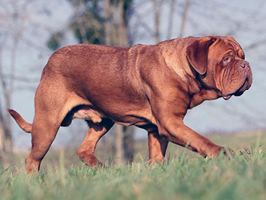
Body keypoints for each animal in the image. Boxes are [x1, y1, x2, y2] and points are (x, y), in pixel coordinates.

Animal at [8, 36, 252, 172]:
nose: (246, 65)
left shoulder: (158, 129)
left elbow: (157, 155)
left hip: (102, 121)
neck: (184, 69)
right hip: (47, 125)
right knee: (32, 159)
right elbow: (200, 140)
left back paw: (104, 171)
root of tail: (50, 61)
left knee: (83, 149)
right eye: (226, 59)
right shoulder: (170, 123)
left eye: (242, 56)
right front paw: (225, 154)